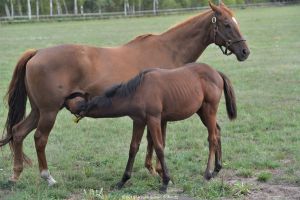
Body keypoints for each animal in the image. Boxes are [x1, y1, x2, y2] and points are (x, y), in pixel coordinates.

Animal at [75, 63, 237, 192]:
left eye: (84, 106)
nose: (76, 110)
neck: (138, 90)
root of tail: (216, 72)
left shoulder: (153, 119)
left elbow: (159, 147)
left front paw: (165, 182)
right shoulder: (139, 121)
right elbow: (133, 148)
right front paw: (122, 181)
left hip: (209, 110)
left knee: (212, 137)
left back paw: (207, 173)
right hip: (202, 112)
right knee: (217, 131)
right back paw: (217, 168)